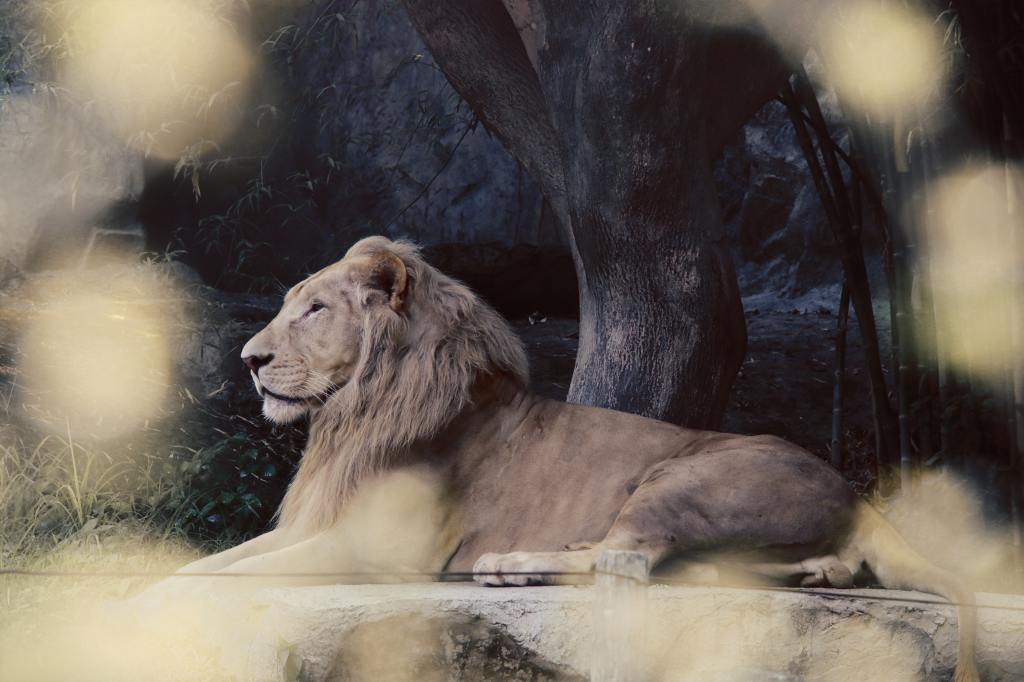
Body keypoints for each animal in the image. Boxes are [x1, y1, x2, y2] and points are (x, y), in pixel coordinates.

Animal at [173, 236, 978, 681]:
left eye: (315, 310)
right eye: (291, 304)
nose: (248, 360)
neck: (353, 416)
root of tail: (858, 494)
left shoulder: (379, 550)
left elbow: (221, 580)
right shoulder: (312, 529)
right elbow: (198, 568)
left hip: (681, 478)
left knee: (627, 562)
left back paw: (507, 565)